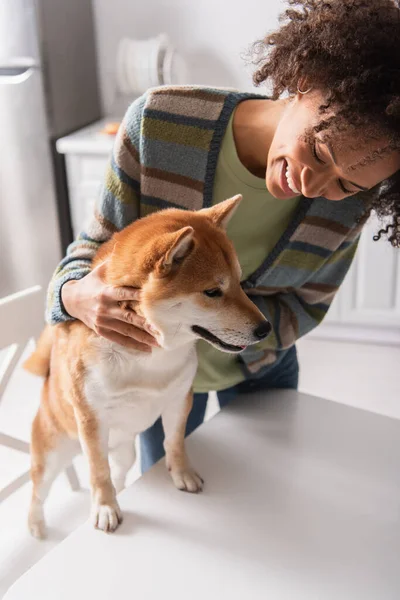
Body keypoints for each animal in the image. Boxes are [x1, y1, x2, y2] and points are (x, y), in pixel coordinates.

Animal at [23, 197, 270, 540]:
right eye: (212, 292)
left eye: (239, 281)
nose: (266, 328)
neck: (152, 358)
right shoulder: (91, 419)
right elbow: (98, 472)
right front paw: (105, 508)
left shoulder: (179, 399)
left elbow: (174, 442)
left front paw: (182, 474)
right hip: (52, 454)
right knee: (37, 492)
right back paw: (36, 525)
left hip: (125, 449)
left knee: (119, 469)